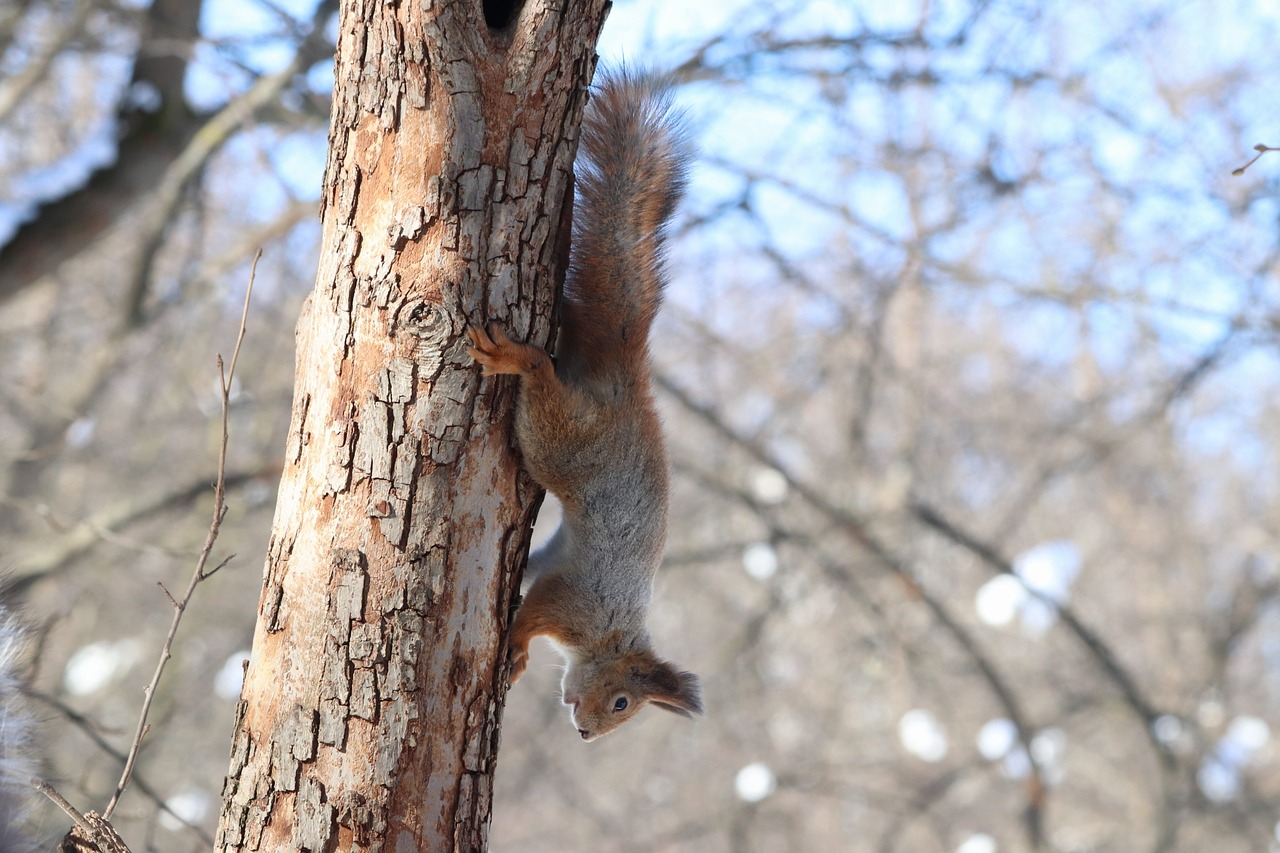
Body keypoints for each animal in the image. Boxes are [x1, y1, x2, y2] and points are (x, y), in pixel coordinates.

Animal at [471, 69, 706, 737]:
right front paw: (518, 649)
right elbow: (531, 613)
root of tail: (626, 381)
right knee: (540, 378)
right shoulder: (578, 599)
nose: (585, 732)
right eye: (623, 702)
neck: (610, 636)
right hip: (561, 441)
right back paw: (515, 359)